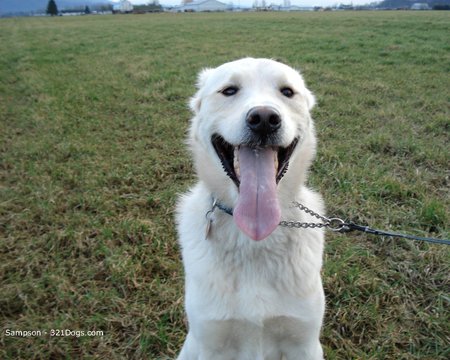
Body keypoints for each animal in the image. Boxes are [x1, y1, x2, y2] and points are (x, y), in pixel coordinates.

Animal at [177, 57, 326, 358]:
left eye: (287, 92)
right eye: (229, 90)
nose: (264, 119)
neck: (254, 239)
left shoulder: (305, 343)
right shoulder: (212, 344)